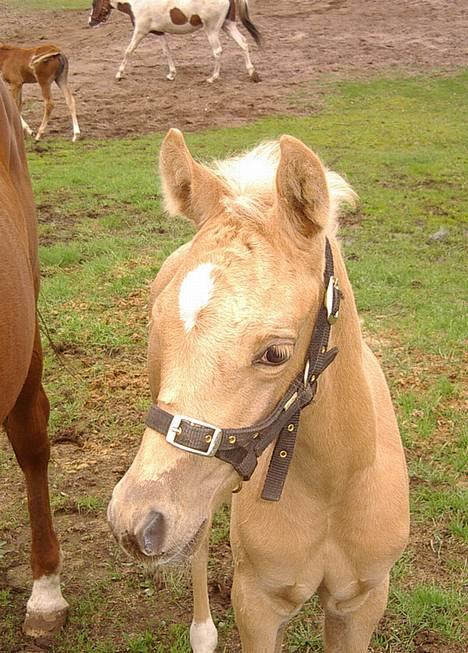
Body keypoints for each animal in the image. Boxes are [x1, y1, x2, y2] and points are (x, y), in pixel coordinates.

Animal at [88, 0, 260, 83]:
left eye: (93, 3)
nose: (90, 22)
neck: (137, 3)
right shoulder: (159, 33)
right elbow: (167, 52)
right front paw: (171, 74)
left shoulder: (140, 31)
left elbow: (128, 51)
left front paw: (119, 74)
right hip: (227, 25)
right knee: (243, 43)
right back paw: (253, 74)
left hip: (212, 30)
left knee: (218, 51)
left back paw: (213, 78)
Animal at [106, 130, 410, 648]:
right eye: (156, 326)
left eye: (275, 353)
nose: (134, 523)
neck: (335, 488)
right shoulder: (258, 604)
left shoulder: (362, 601)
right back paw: (203, 634)